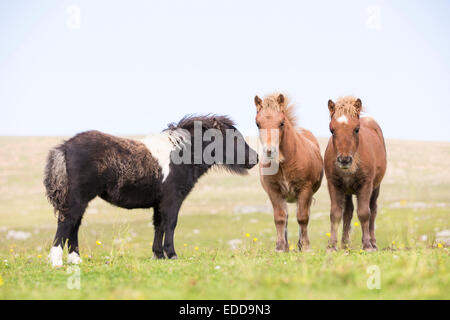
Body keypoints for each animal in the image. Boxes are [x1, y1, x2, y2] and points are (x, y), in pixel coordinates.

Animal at [44, 114, 260, 266]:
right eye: (233, 138)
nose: (255, 158)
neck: (181, 154)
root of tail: (65, 147)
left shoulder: (159, 202)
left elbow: (159, 225)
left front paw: (158, 255)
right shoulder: (172, 199)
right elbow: (170, 224)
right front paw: (172, 254)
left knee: (74, 224)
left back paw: (75, 259)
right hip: (78, 198)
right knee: (66, 222)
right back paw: (56, 261)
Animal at [253, 94, 324, 251]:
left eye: (281, 123)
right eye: (258, 124)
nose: (269, 151)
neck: (283, 164)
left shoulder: (305, 190)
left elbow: (302, 218)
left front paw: (305, 247)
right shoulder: (274, 191)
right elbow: (280, 218)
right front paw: (280, 247)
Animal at [324, 96, 386, 251]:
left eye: (356, 129)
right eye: (332, 130)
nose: (344, 160)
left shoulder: (366, 185)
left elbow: (364, 213)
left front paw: (367, 245)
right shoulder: (334, 185)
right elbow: (336, 213)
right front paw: (332, 246)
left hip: (375, 187)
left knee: (373, 211)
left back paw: (373, 242)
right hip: (347, 190)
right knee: (348, 212)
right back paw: (345, 244)